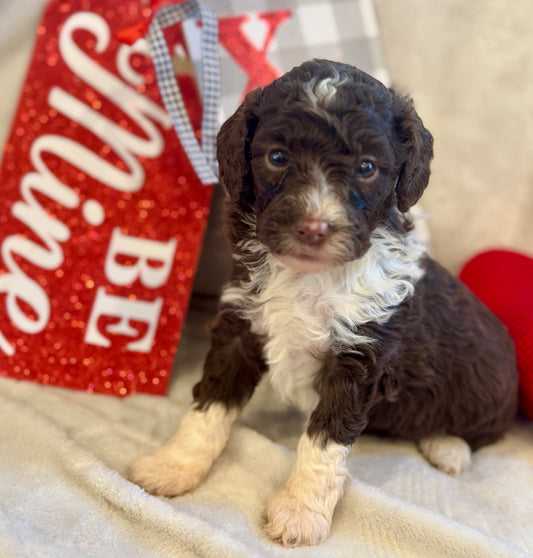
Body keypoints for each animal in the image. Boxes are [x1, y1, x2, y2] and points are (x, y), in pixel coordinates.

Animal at [131, 60, 516, 548]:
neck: (310, 276)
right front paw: (174, 465)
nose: (314, 228)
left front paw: (300, 513)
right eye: (277, 158)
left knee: (480, 433)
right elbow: (209, 405)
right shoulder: (241, 324)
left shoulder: (359, 356)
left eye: (367, 167)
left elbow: (324, 439)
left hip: (488, 394)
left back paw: (446, 445)